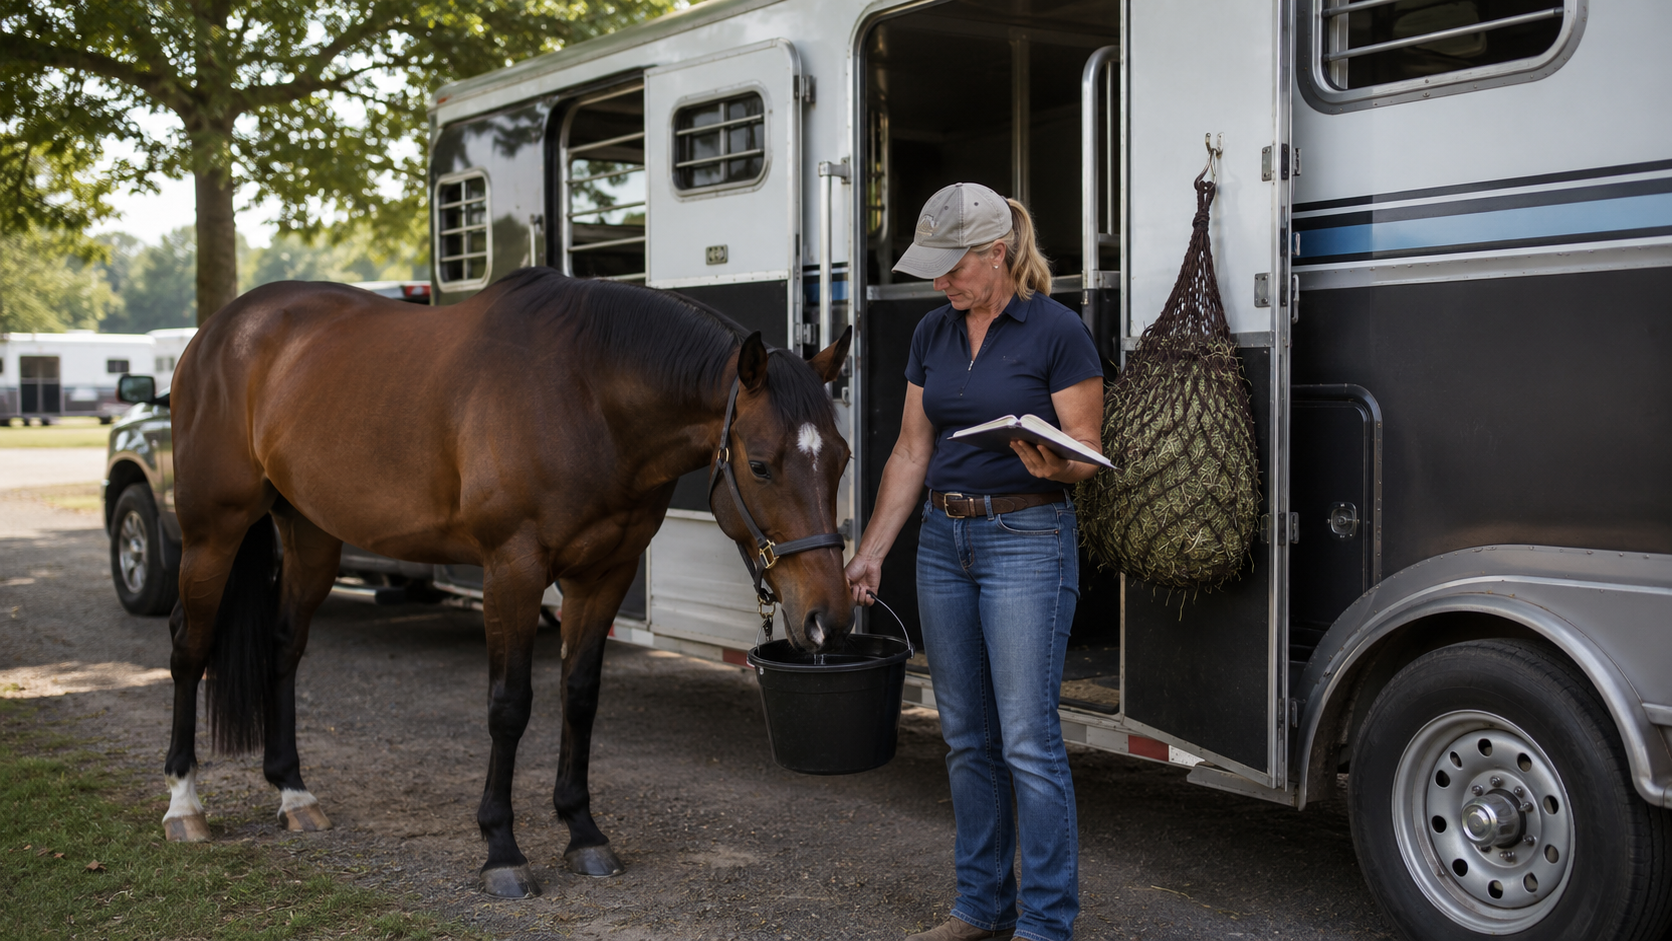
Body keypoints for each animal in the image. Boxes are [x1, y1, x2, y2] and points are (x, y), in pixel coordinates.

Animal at [158, 267, 854, 897]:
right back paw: (184, 806)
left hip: (310, 534)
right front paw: (501, 850)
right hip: (212, 531)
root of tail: (221, 330)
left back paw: (294, 794)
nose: (830, 618)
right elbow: (509, 705)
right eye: (759, 466)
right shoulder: (511, 571)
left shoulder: (604, 574)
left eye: (842, 459)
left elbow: (580, 696)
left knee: (283, 646)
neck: (587, 395)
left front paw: (584, 833)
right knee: (189, 647)